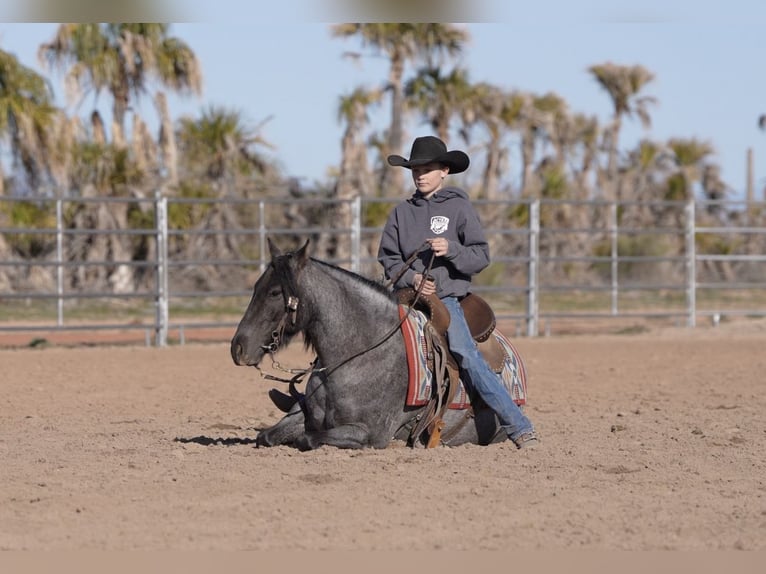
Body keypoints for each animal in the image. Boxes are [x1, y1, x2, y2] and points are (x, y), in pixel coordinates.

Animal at [230, 238, 519, 451]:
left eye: (275, 292)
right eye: (256, 287)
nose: (237, 348)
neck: (359, 356)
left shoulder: (368, 433)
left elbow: (307, 440)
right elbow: (267, 436)